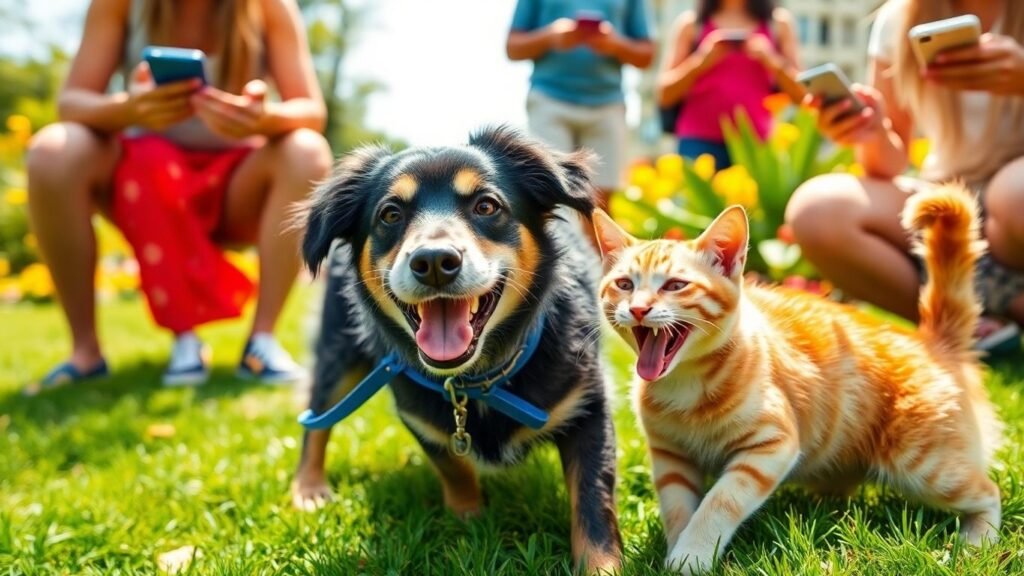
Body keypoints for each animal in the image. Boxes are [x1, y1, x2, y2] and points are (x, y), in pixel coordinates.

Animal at [292, 126, 618, 569]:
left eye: (486, 205)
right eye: (390, 214)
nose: (433, 261)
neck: (475, 379)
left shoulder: (588, 405)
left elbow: (593, 499)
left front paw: (601, 567)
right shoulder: (419, 415)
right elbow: (454, 466)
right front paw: (468, 520)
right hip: (338, 349)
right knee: (318, 416)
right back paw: (308, 488)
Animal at [593, 184, 999, 573]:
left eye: (675, 285)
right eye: (625, 284)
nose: (638, 308)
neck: (687, 381)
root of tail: (931, 342)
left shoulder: (772, 446)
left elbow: (719, 502)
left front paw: (691, 556)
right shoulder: (671, 455)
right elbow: (679, 508)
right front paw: (679, 547)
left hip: (923, 465)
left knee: (988, 492)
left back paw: (978, 542)